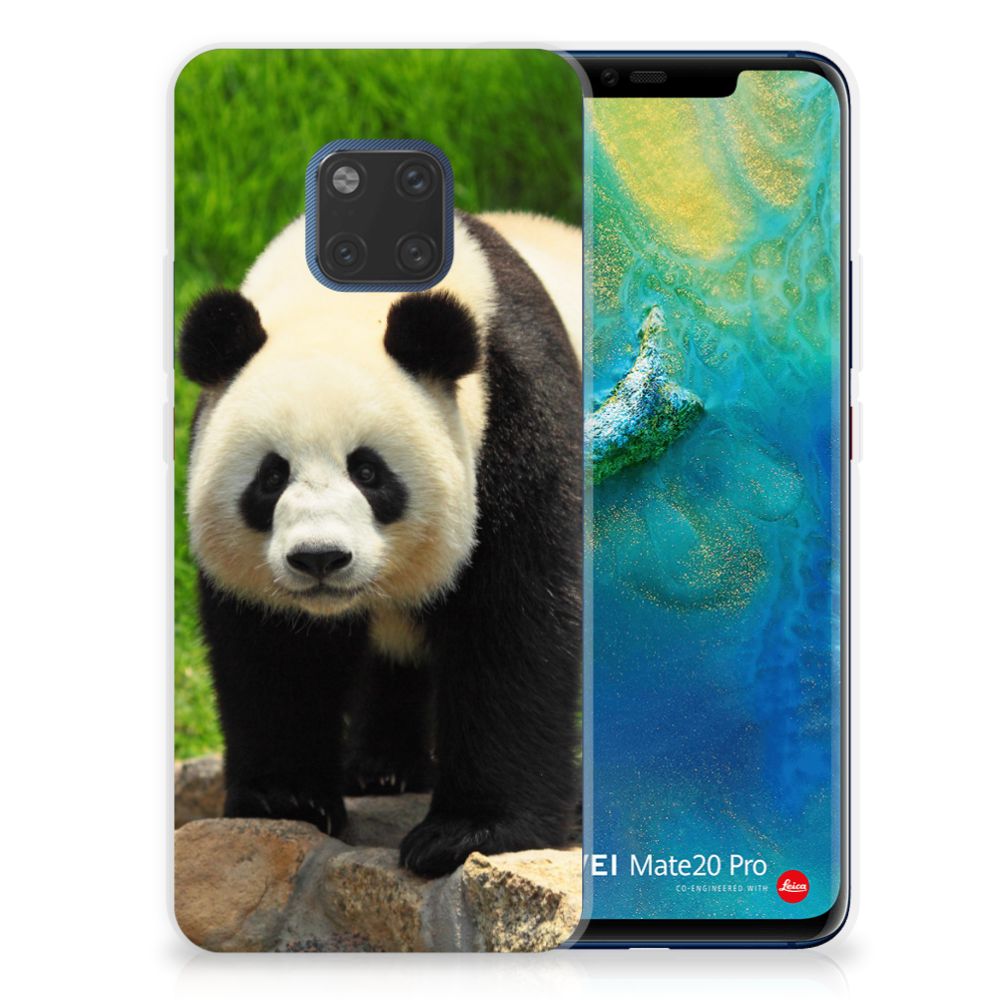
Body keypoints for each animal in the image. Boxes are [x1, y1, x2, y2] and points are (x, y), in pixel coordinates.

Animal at [180, 211, 582, 877]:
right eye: (271, 476)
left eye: (368, 472)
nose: (319, 558)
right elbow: (274, 649)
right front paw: (286, 799)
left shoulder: (517, 417)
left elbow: (516, 623)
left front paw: (467, 832)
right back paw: (382, 769)